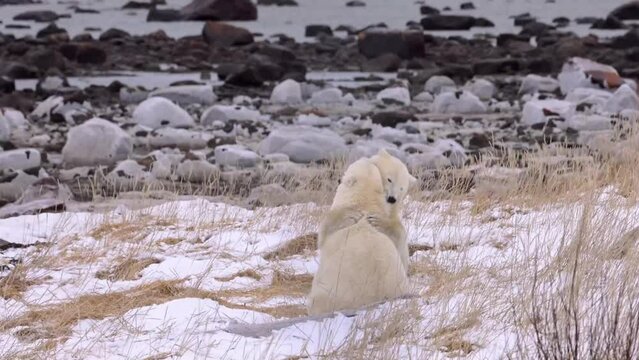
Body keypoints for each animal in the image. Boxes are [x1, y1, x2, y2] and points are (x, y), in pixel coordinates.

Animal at [308, 149, 418, 316]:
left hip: (328, 294)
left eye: (401, 188)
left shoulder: (330, 231)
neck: (365, 205)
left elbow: (325, 232)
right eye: (389, 179)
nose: (392, 198)